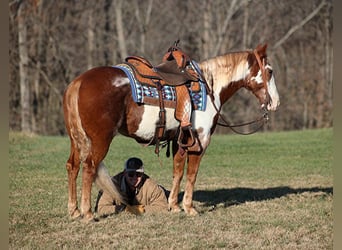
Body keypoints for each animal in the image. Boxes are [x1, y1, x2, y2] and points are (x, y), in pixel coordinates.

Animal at [62, 43, 280, 221]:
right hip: (100, 140)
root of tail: (78, 82)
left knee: (72, 166)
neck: (210, 87)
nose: (275, 103)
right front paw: (189, 208)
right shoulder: (200, 141)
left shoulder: (179, 140)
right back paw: (87, 213)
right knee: (89, 168)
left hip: (76, 140)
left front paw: (174, 206)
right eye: (269, 71)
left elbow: (178, 171)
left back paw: (74, 211)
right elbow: (191, 174)